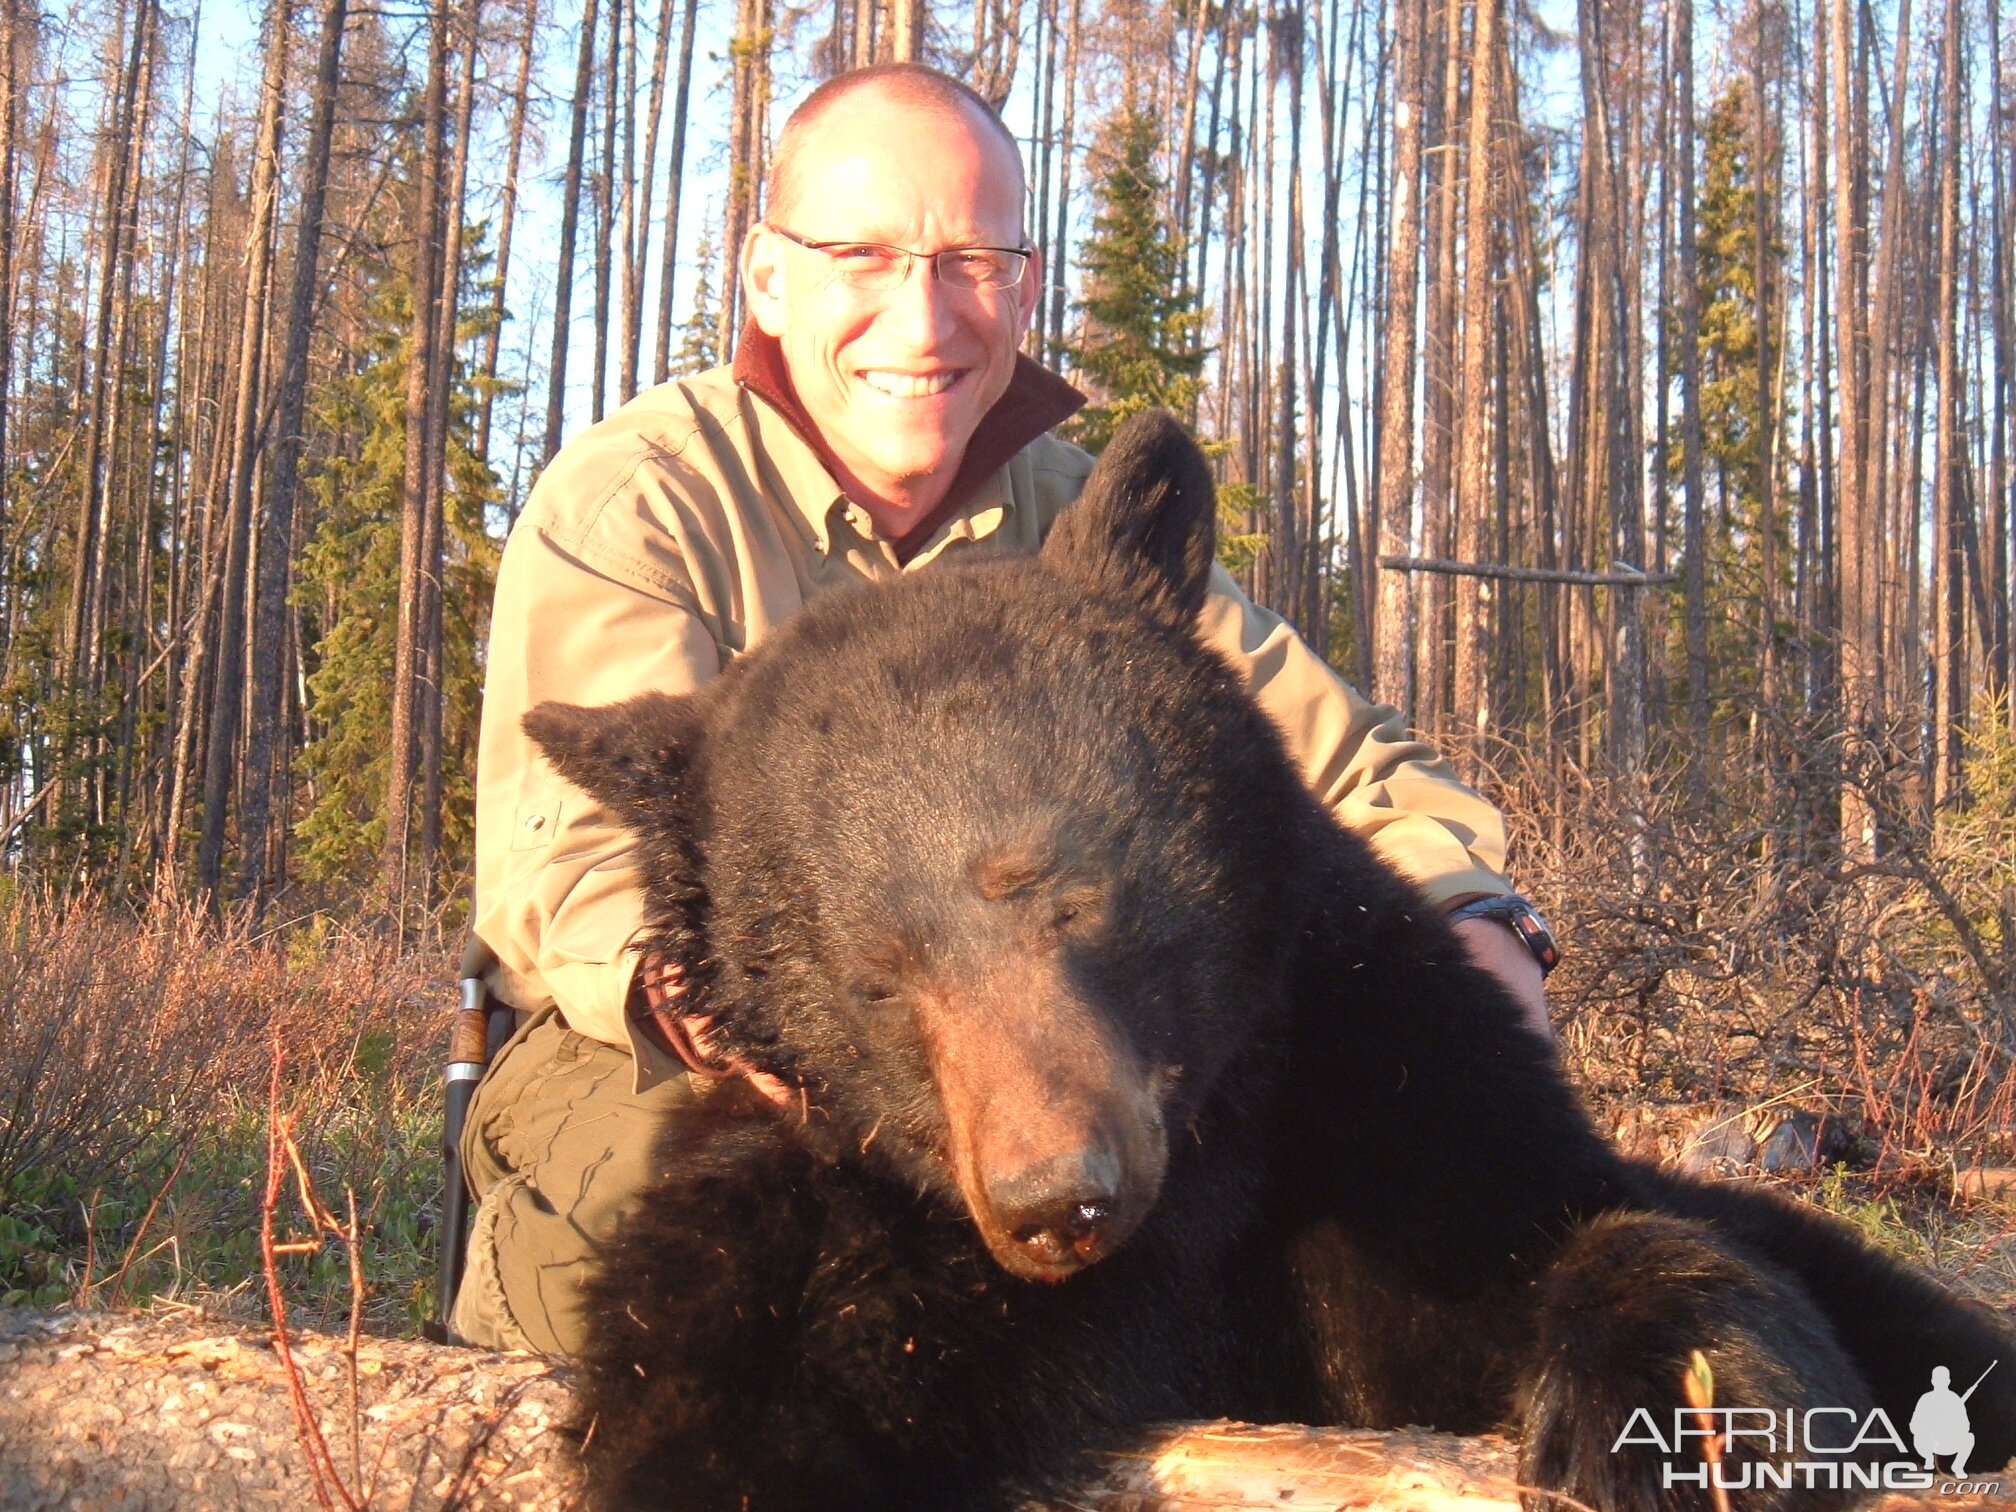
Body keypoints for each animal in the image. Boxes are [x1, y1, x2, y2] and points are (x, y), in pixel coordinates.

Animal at [524, 409, 2016, 1507]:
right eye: (876, 978)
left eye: (1075, 895)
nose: (1058, 1198)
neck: (1201, 1184)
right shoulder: (846, 1227)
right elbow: (734, 1399)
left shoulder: (1389, 1109)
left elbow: (1571, 1238)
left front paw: (1688, 1408)